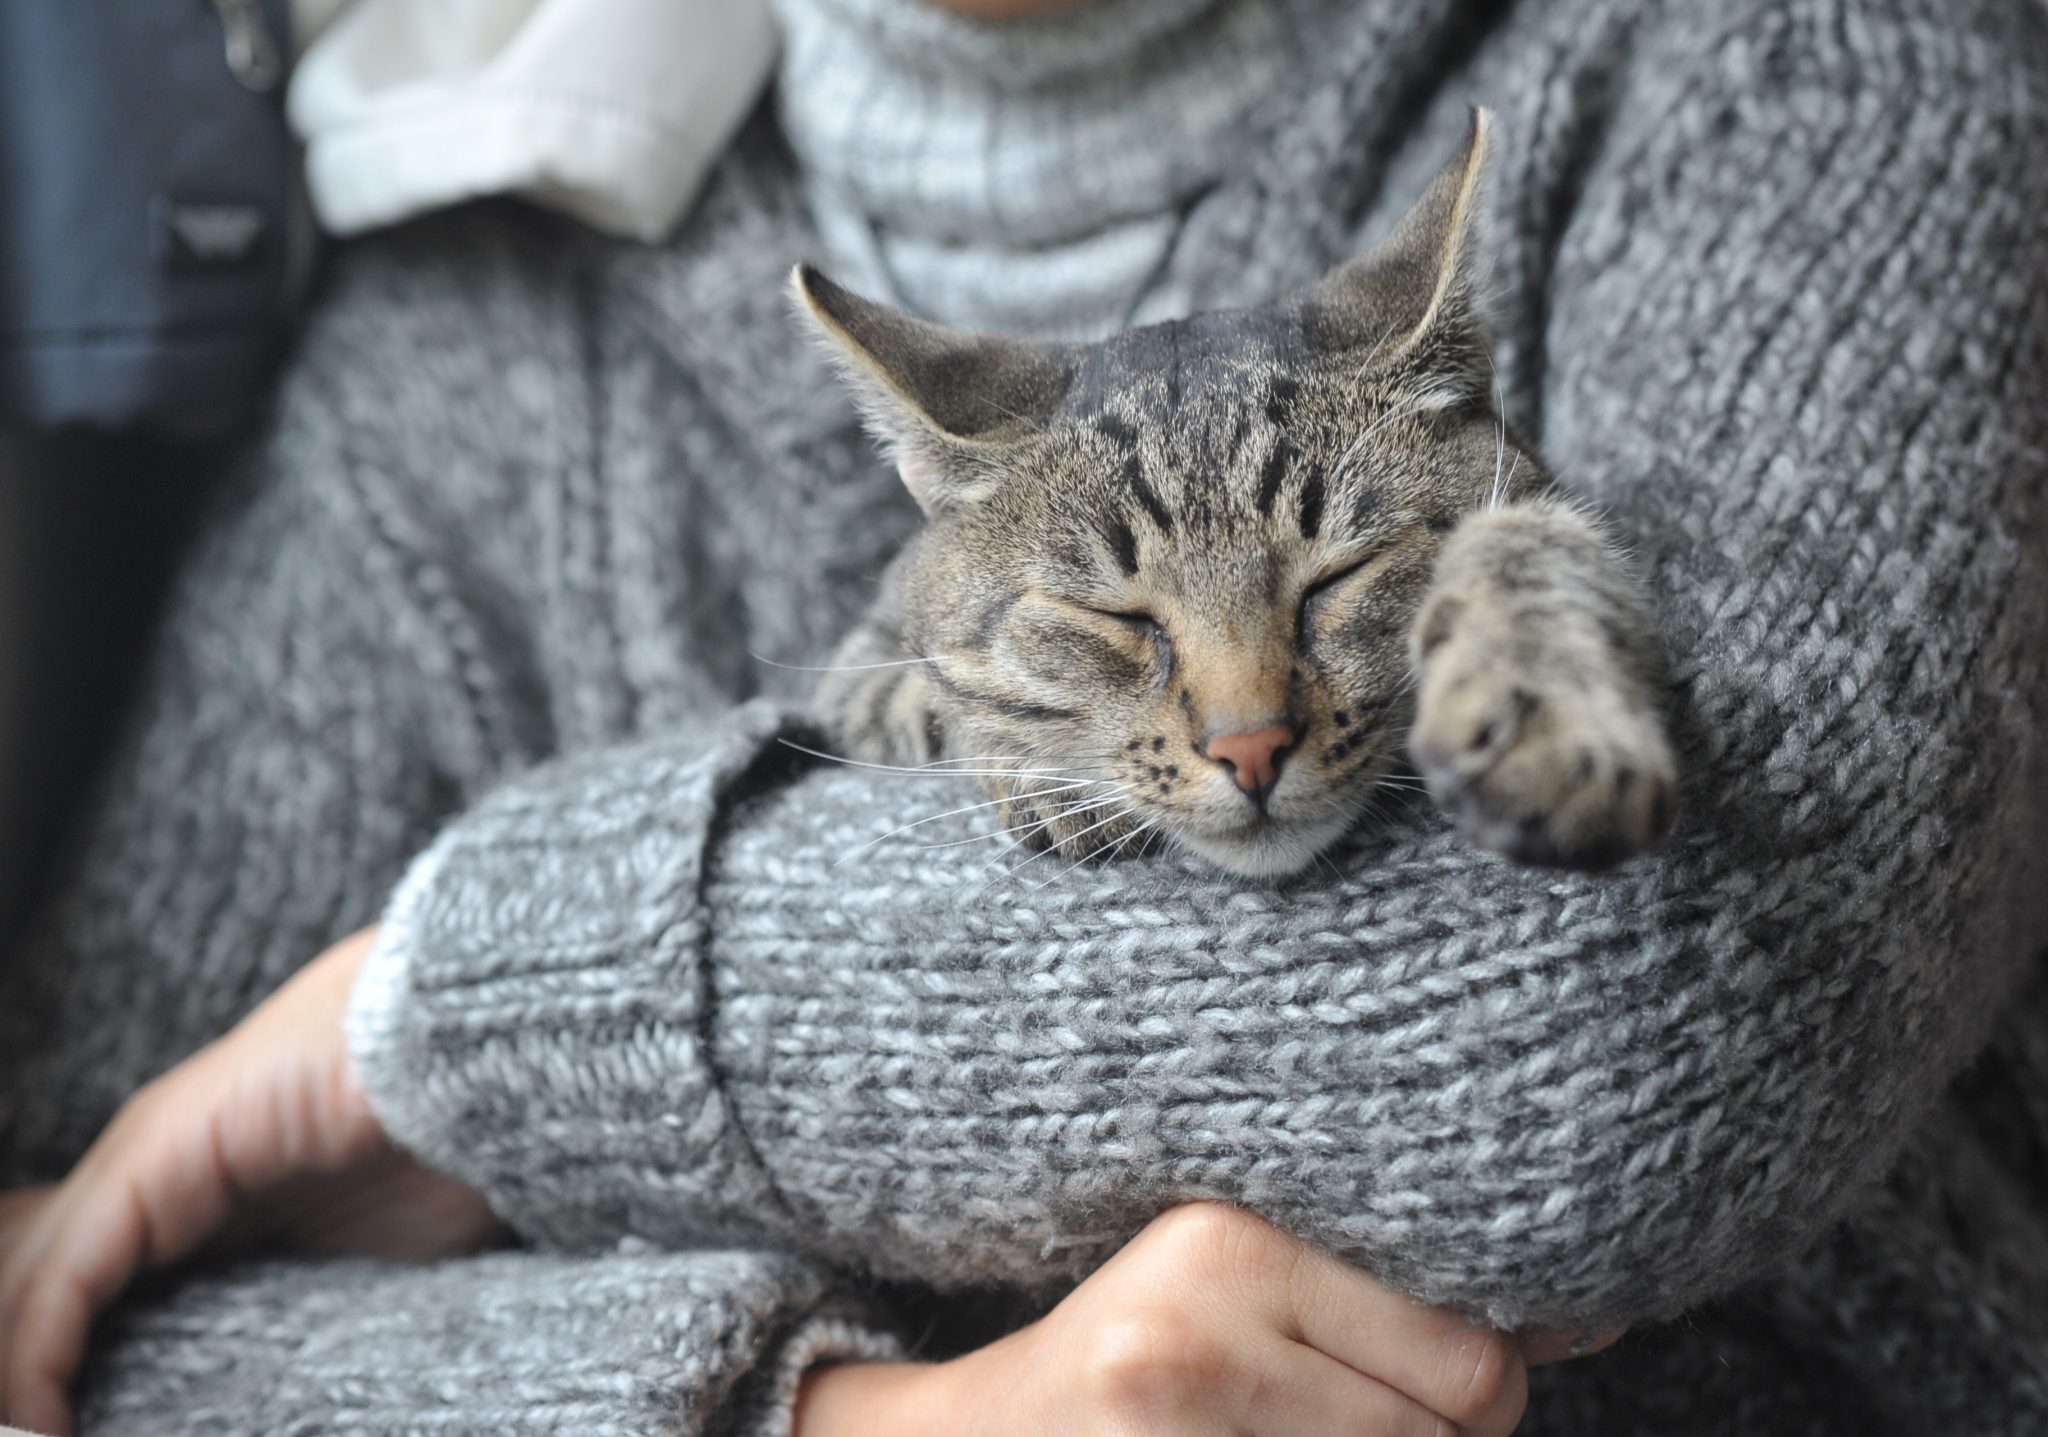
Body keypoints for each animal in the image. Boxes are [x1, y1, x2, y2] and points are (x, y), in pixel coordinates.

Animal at [790, 109, 1671, 876]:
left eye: (1337, 578)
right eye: (1113, 617)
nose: (1250, 748)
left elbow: (1531, 542)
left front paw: (1546, 712)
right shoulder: (856, 665)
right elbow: (933, 697)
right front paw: (1044, 776)